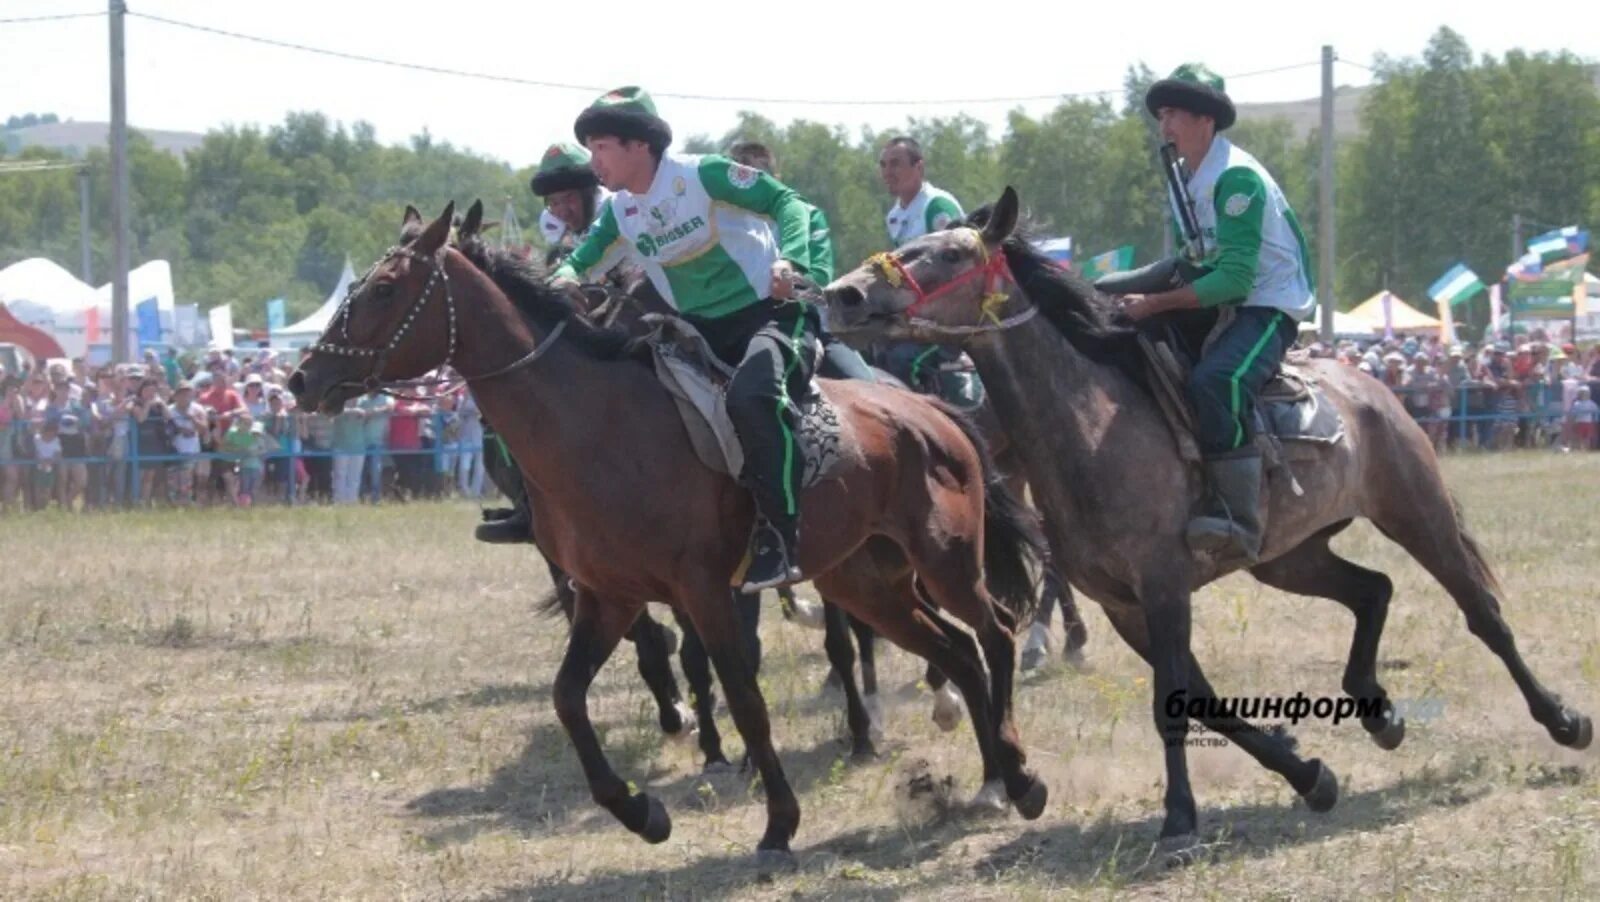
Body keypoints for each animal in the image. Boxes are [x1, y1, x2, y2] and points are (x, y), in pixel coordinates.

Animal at [289, 200, 1056, 863]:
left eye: (386, 289)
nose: (302, 379)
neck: (596, 426)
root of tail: (931, 412)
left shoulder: (706, 591)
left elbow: (744, 696)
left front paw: (778, 823)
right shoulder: (608, 595)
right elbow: (571, 696)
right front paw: (641, 811)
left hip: (946, 561)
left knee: (992, 635)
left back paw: (1017, 776)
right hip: (867, 581)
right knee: (956, 652)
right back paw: (994, 777)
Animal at [825, 184, 1587, 857]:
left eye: (951, 253)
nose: (843, 295)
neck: (1093, 426)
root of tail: (1369, 386)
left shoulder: (1163, 587)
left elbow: (1173, 699)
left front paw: (1180, 820)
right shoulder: (1127, 606)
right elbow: (1202, 698)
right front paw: (1308, 775)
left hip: (1415, 512)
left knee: (1482, 614)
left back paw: (1563, 720)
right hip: (1290, 558)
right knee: (1374, 590)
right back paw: (1379, 710)